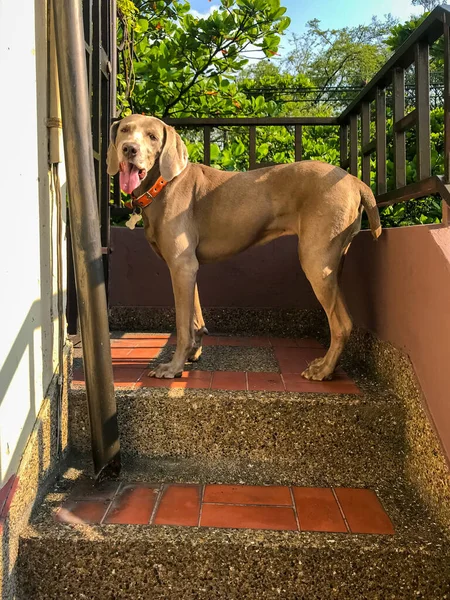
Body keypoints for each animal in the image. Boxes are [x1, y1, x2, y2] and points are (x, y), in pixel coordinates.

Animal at [107, 113, 382, 380]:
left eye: (152, 136)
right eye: (125, 130)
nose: (129, 149)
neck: (162, 185)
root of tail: (355, 181)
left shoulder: (181, 265)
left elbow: (182, 326)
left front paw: (173, 368)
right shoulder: (187, 268)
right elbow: (195, 317)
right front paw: (193, 353)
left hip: (315, 261)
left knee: (342, 323)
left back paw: (323, 371)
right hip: (334, 261)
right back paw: (326, 366)